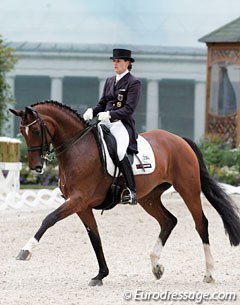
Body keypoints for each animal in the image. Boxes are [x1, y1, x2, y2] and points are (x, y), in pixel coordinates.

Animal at [9, 101, 240, 284]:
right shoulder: (82, 205)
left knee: (201, 223)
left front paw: (25, 251)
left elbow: (49, 219)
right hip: (149, 198)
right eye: (22, 132)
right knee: (168, 221)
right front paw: (101, 274)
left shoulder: (78, 200)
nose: (36, 167)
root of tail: (180, 140)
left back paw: (209, 274)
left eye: (36, 131)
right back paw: (156, 267)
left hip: (188, 188)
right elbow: (95, 237)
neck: (78, 148)